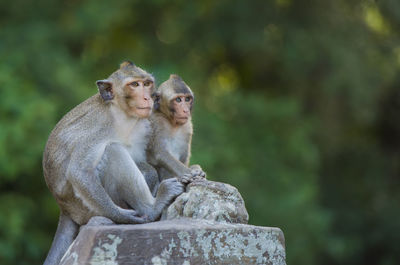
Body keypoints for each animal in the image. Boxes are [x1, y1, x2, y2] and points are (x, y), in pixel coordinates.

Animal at [41, 61, 184, 264]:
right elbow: (79, 171)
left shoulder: (144, 125)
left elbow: (144, 161)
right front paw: (123, 216)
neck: (120, 113)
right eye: (134, 85)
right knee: (113, 151)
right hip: (87, 208)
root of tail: (65, 208)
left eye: (147, 83)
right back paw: (152, 206)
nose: (148, 97)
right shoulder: (97, 127)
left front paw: (150, 174)